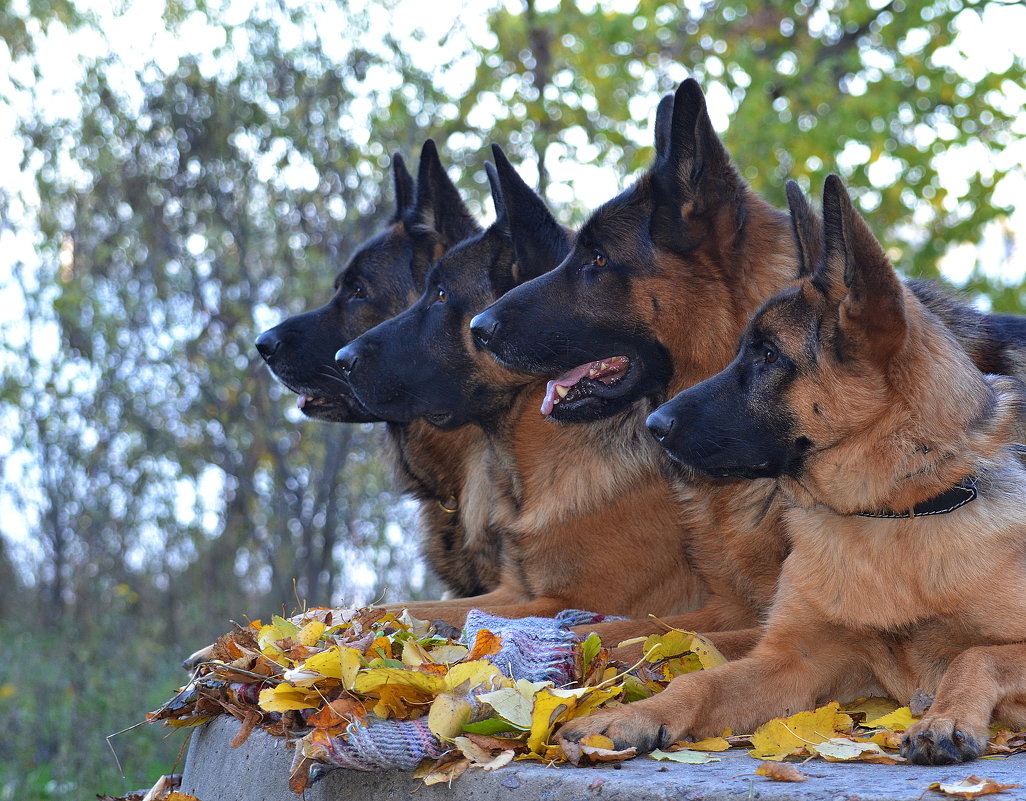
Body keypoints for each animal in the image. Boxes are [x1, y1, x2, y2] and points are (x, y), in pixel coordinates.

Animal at [558, 173, 1026, 763]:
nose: (655, 426)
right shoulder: (794, 660)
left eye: (768, 356)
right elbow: (696, 680)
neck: (890, 514)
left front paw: (945, 719)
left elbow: (977, 654)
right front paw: (627, 717)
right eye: (745, 349)